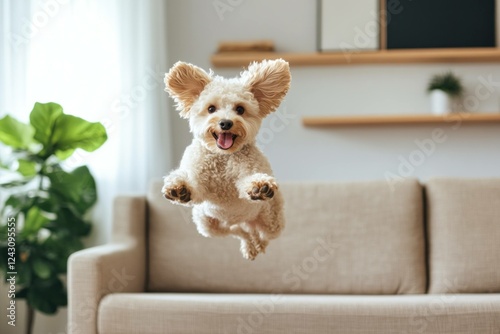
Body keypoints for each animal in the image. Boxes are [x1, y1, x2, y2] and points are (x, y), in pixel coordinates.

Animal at [162, 58, 292, 260]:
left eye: (240, 109)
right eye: (211, 108)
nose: (225, 123)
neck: (223, 158)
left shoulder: (249, 170)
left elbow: (249, 179)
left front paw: (259, 187)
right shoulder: (199, 182)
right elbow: (193, 185)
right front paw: (179, 188)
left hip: (272, 221)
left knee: (260, 233)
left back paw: (258, 243)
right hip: (208, 225)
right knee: (239, 231)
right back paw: (250, 245)